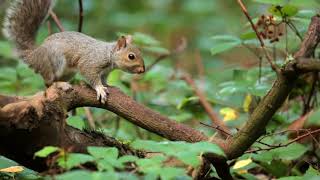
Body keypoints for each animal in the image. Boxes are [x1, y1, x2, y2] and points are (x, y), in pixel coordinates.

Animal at [2, 0, 145, 103]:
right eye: (131, 56)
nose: (142, 70)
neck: (108, 53)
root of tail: (35, 55)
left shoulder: (105, 72)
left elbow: (103, 79)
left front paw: (108, 85)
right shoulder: (90, 62)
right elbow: (91, 75)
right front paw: (100, 89)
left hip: (68, 72)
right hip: (56, 60)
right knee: (48, 81)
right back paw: (61, 84)